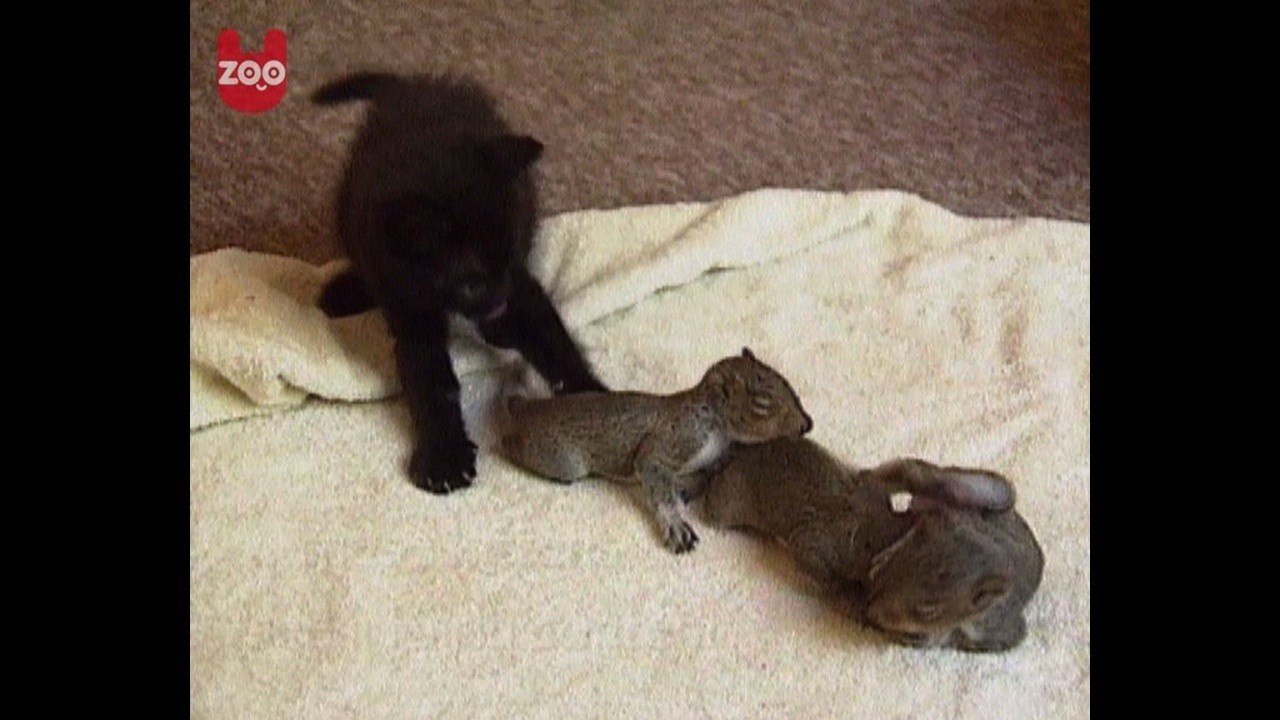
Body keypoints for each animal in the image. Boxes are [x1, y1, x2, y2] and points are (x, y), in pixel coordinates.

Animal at [497, 348, 813, 554]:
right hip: (563, 461)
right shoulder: (671, 440)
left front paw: (685, 490)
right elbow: (653, 471)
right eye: (761, 404)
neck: (715, 423)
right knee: (515, 446)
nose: (807, 424)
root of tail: (530, 408)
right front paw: (675, 524)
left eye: (786, 381)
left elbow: (701, 478)